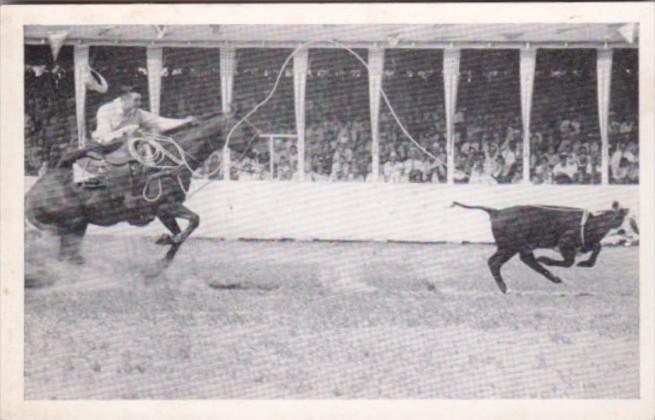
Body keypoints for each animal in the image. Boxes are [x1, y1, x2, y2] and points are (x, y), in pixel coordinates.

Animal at [23, 110, 254, 270]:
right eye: (246, 127)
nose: (259, 149)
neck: (167, 161)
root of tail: (31, 194)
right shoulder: (167, 205)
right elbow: (194, 221)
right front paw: (165, 242)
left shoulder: (163, 210)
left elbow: (180, 233)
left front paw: (160, 264)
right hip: (70, 224)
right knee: (66, 255)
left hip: (78, 226)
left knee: (69, 257)